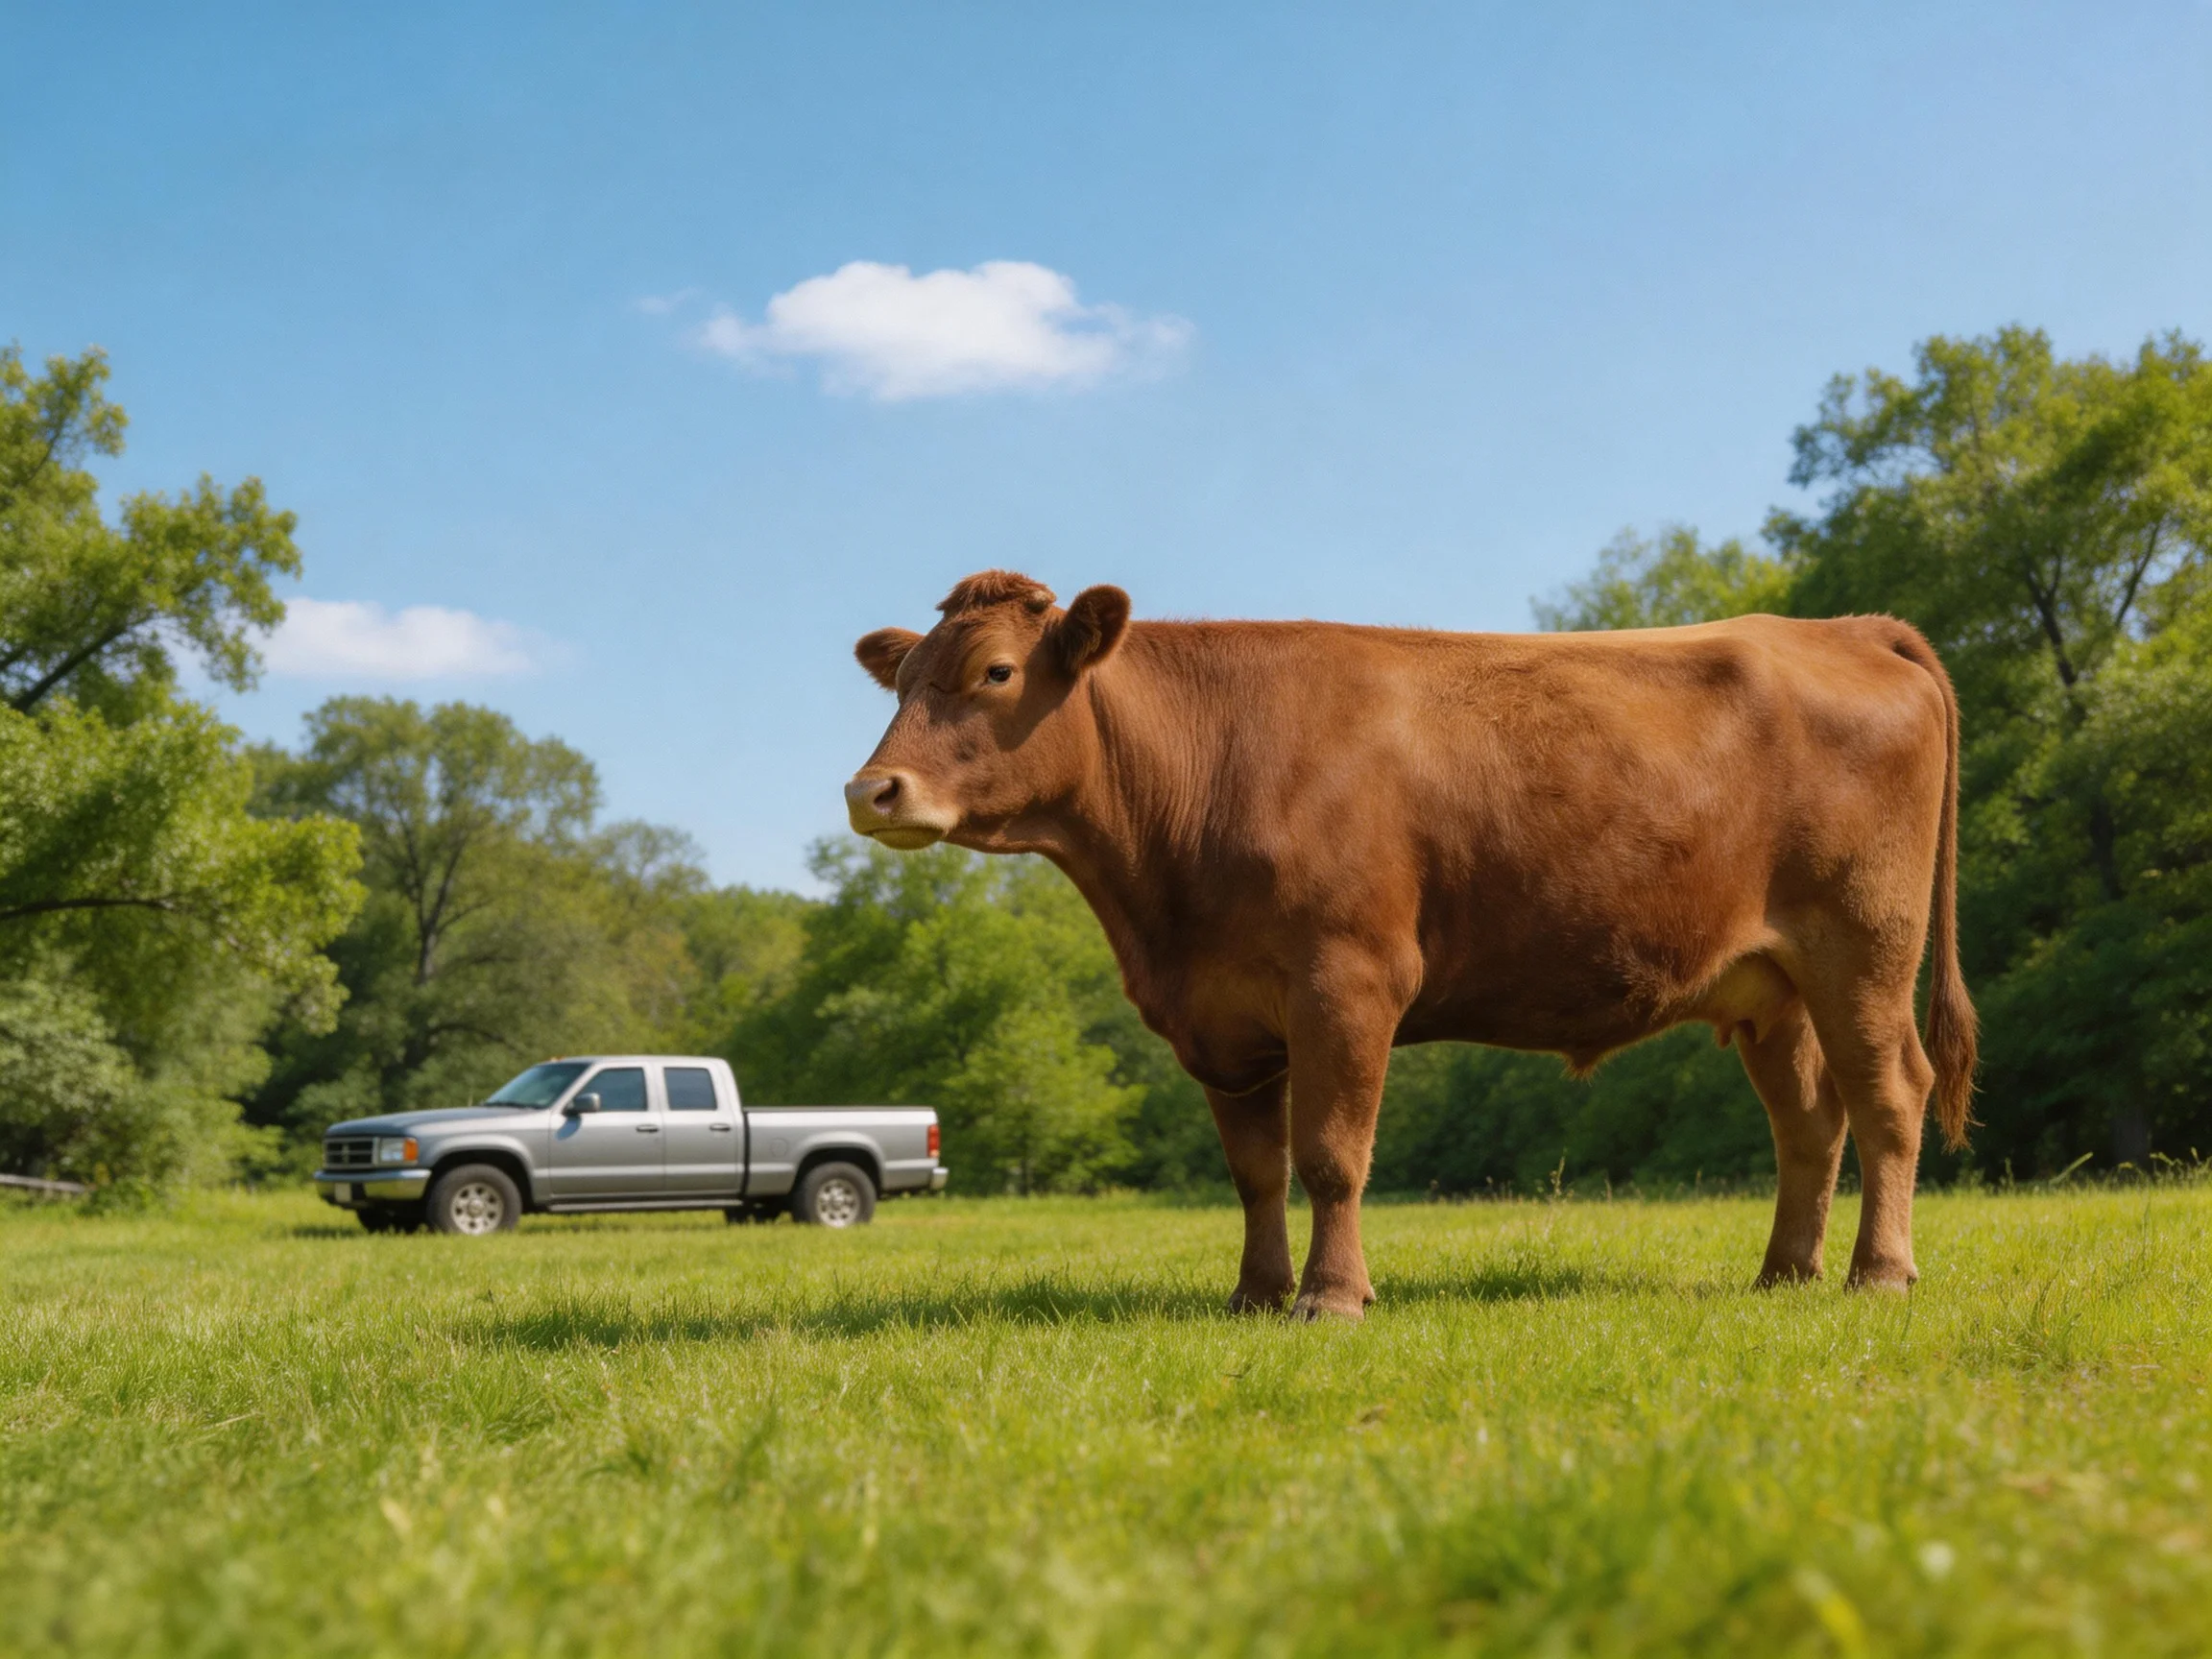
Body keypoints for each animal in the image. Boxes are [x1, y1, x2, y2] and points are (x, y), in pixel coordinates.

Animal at [845, 570, 1976, 1320]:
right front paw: (1254, 1294)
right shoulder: (1222, 1016)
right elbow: (1255, 1170)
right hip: (1771, 985)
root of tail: (1847, 629)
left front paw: (1330, 1298)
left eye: (995, 672)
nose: (870, 790)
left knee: (1890, 1095)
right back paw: (1785, 1273)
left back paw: (1879, 1273)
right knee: (1810, 1122)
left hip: (1864, 947)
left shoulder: (1346, 980)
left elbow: (1331, 1154)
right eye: (901, 685)